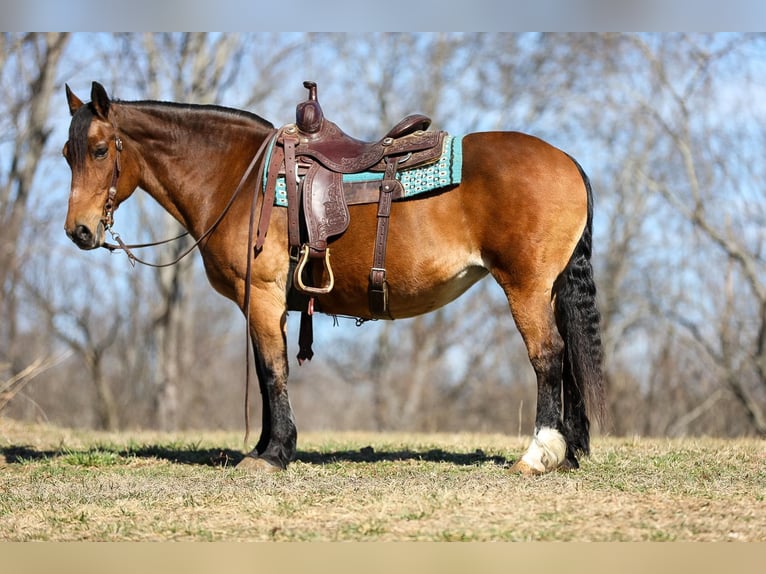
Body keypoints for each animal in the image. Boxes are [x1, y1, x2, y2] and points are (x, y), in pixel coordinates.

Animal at [61, 82, 608, 476]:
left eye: (99, 149)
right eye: (67, 152)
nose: (78, 231)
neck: (239, 178)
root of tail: (567, 160)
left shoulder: (262, 296)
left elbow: (273, 371)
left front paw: (274, 454)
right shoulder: (268, 303)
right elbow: (267, 371)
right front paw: (267, 446)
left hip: (526, 288)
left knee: (548, 356)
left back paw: (538, 454)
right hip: (549, 289)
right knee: (567, 358)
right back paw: (568, 452)